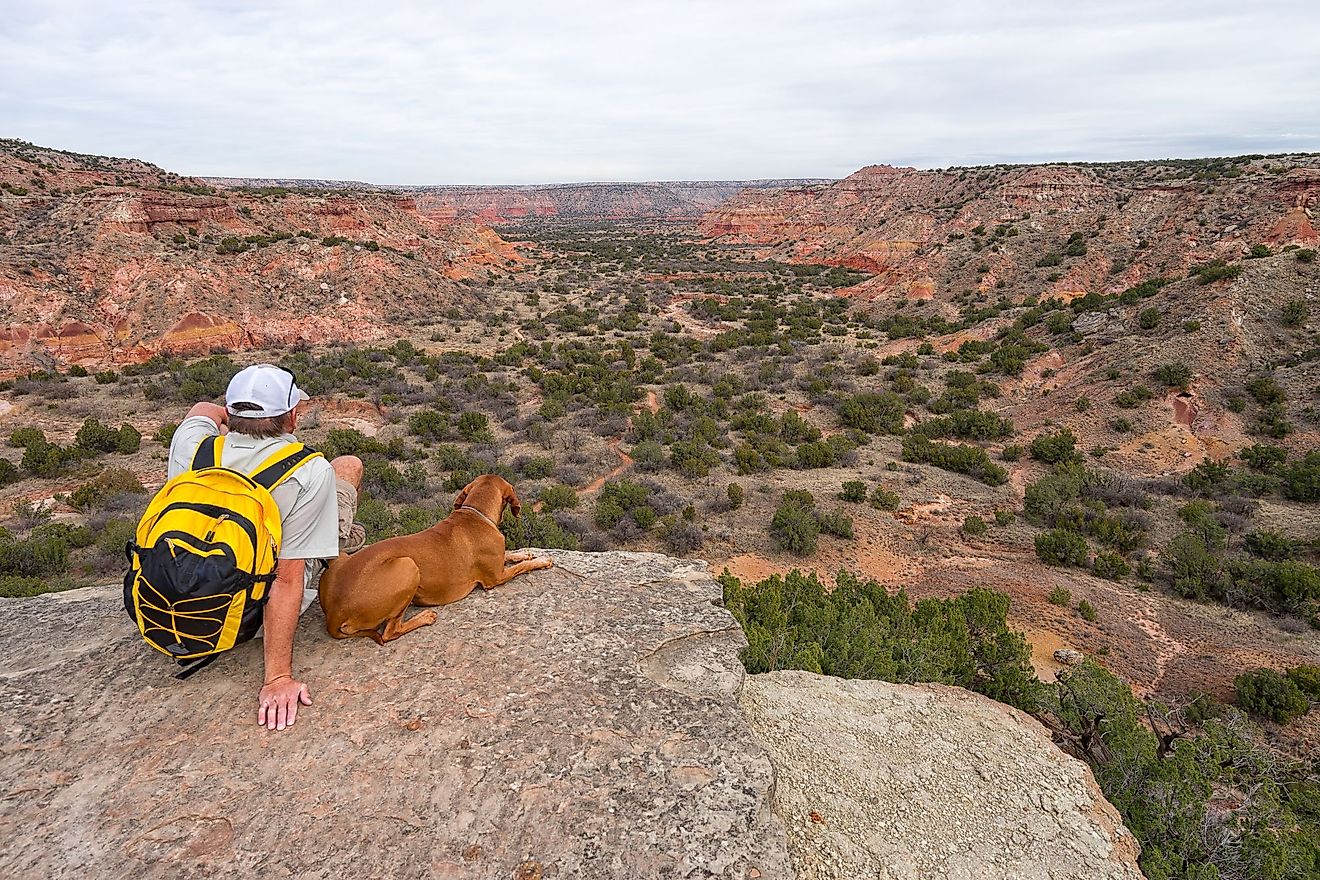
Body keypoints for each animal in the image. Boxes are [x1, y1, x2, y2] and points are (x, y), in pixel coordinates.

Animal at [318, 477, 551, 643]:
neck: (476, 513)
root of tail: (334, 614)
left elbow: (511, 555)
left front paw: (524, 553)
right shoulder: (496, 578)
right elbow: (522, 567)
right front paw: (541, 561)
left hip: (339, 557)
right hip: (408, 566)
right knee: (390, 632)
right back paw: (426, 617)